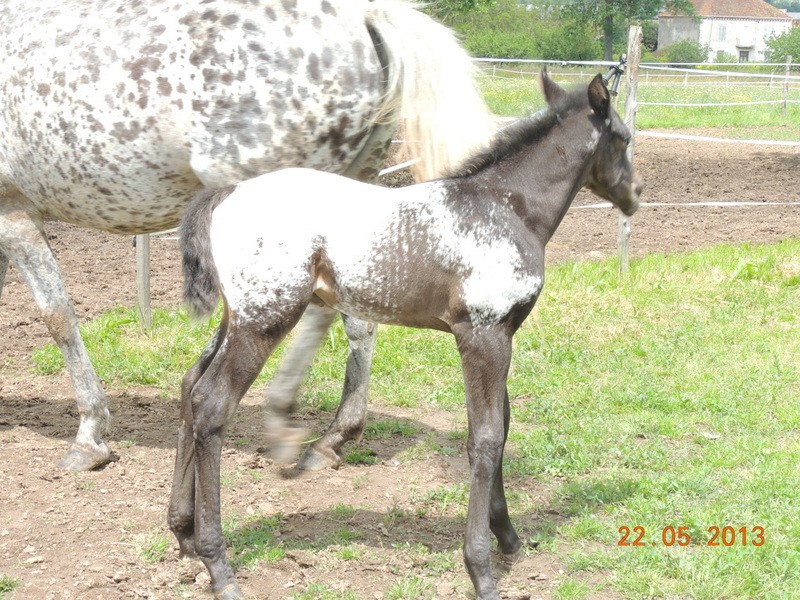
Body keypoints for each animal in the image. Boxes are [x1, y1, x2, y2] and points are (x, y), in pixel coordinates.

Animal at [0, 0, 496, 472]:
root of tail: (363, 15)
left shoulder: (14, 215)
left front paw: (89, 435)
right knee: (354, 314)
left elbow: (58, 317)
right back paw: (331, 437)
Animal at [170, 71, 644, 600]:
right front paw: (481, 569)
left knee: (191, 386)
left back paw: (184, 534)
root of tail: (227, 193)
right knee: (213, 404)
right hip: (265, 319)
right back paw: (219, 565)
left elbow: (501, 427)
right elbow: (484, 438)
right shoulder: (483, 334)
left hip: (237, 317)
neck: (508, 207)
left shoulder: (504, 332)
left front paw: (508, 536)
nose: (636, 192)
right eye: (623, 137)